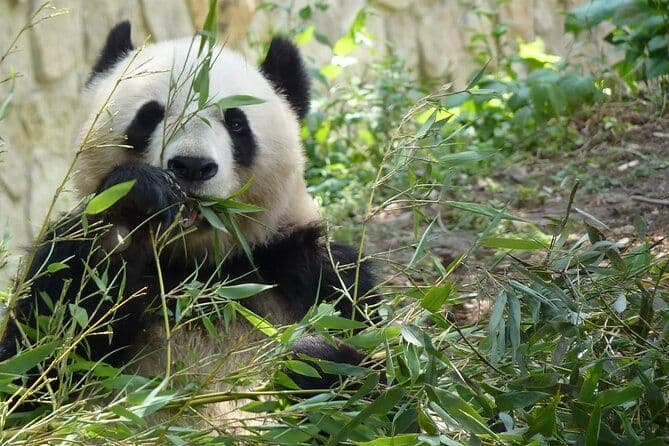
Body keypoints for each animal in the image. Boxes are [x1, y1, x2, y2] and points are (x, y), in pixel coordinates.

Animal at [0, 21, 376, 422]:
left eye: (236, 123)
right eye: (149, 116)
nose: (192, 166)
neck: (198, 269)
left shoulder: (312, 272)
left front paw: (315, 359)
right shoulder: (66, 258)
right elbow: (39, 363)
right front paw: (138, 201)